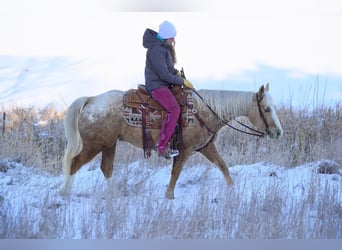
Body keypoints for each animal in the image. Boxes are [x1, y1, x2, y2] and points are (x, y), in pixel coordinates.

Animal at [59, 84, 284, 199]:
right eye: (266, 109)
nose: (278, 132)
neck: (203, 111)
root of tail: (91, 99)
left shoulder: (207, 147)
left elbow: (223, 166)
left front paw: (232, 189)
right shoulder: (184, 150)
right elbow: (176, 172)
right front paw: (169, 195)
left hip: (109, 144)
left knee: (106, 168)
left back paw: (116, 195)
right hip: (94, 145)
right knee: (74, 164)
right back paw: (65, 193)